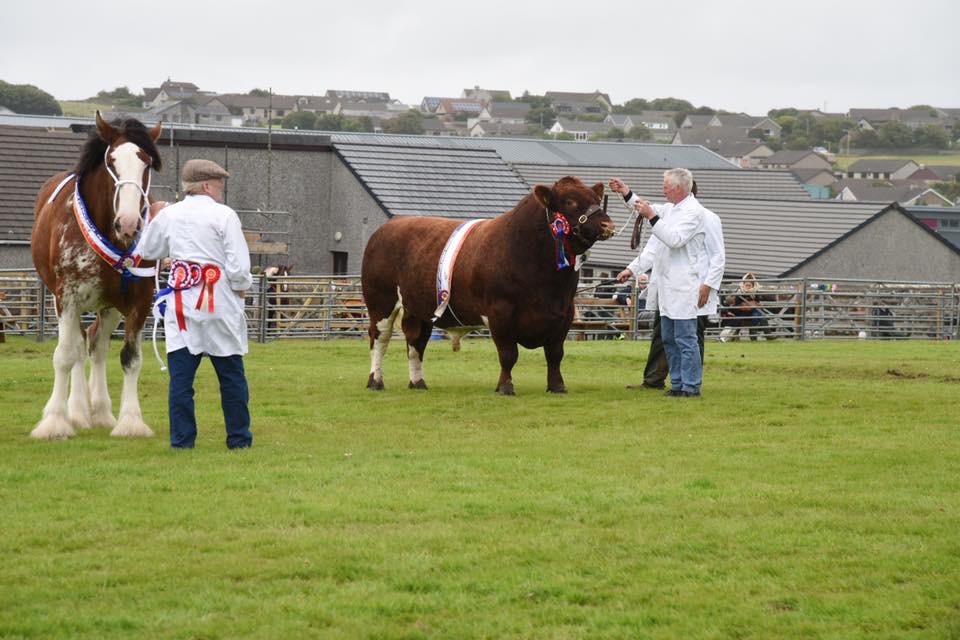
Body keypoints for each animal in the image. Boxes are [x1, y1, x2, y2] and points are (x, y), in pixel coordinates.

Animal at [30, 112, 162, 439]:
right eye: (112, 162)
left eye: (146, 163)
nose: (128, 223)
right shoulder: (68, 298)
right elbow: (65, 355)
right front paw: (55, 422)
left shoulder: (139, 302)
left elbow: (131, 358)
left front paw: (131, 422)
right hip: (65, 302)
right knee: (78, 348)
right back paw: (77, 411)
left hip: (110, 306)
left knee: (96, 345)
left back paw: (100, 411)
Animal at [361, 176, 615, 395]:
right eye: (570, 201)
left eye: (595, 198)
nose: (606, 224)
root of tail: (390, 225)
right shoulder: (500, 313)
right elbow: (508, 354)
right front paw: (505, 387)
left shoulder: (564, 313)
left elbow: (555, 354)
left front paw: (557, 387)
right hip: (381, 302)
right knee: (379, 339)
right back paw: (375, 381)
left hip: (418, 309)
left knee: (416, 342)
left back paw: (417, 382)